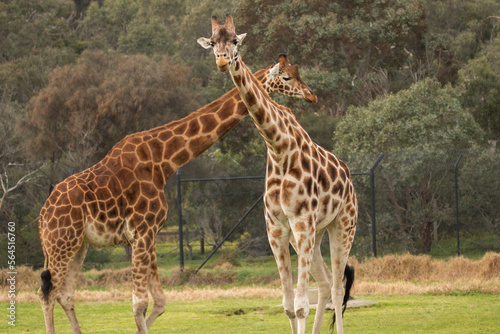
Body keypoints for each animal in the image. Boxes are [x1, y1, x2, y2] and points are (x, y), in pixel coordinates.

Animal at [37, 56, 316, 332]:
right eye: (287, 77)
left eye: (298, 73)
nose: (311, 95)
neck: (163, 161)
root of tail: (42, 217)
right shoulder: (142, 231)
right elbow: (140, 304)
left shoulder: (147, 235)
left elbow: (159, 302)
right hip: (61, 244)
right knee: (48, 294)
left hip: (78, 245)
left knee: (65, 295)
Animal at [197, 13, 358, 334]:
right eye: (213, 43)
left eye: (235, 41)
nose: (222, 61)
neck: (278, 146)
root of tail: (350, 181)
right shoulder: (277, 228)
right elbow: (288, 305)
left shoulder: (301, 222)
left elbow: (301, 304)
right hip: (313, 235)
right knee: (324, 284)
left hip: (343, 226)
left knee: (336, 287)